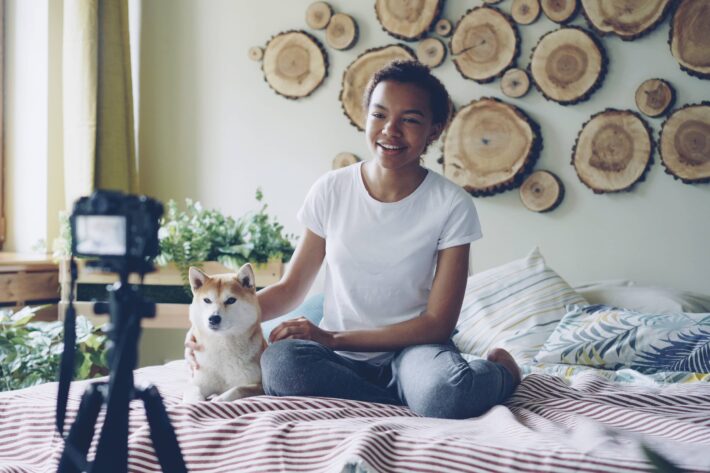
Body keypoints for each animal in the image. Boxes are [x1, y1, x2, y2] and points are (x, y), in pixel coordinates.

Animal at [182, 264, 266, 400]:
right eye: (207, 300)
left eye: (231, 300)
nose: (213, 318)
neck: (222, 345)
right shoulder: (197, 382)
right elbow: (193, 392)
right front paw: (195, 401)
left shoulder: (260, 386)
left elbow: (237, 389)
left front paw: (218, 399)